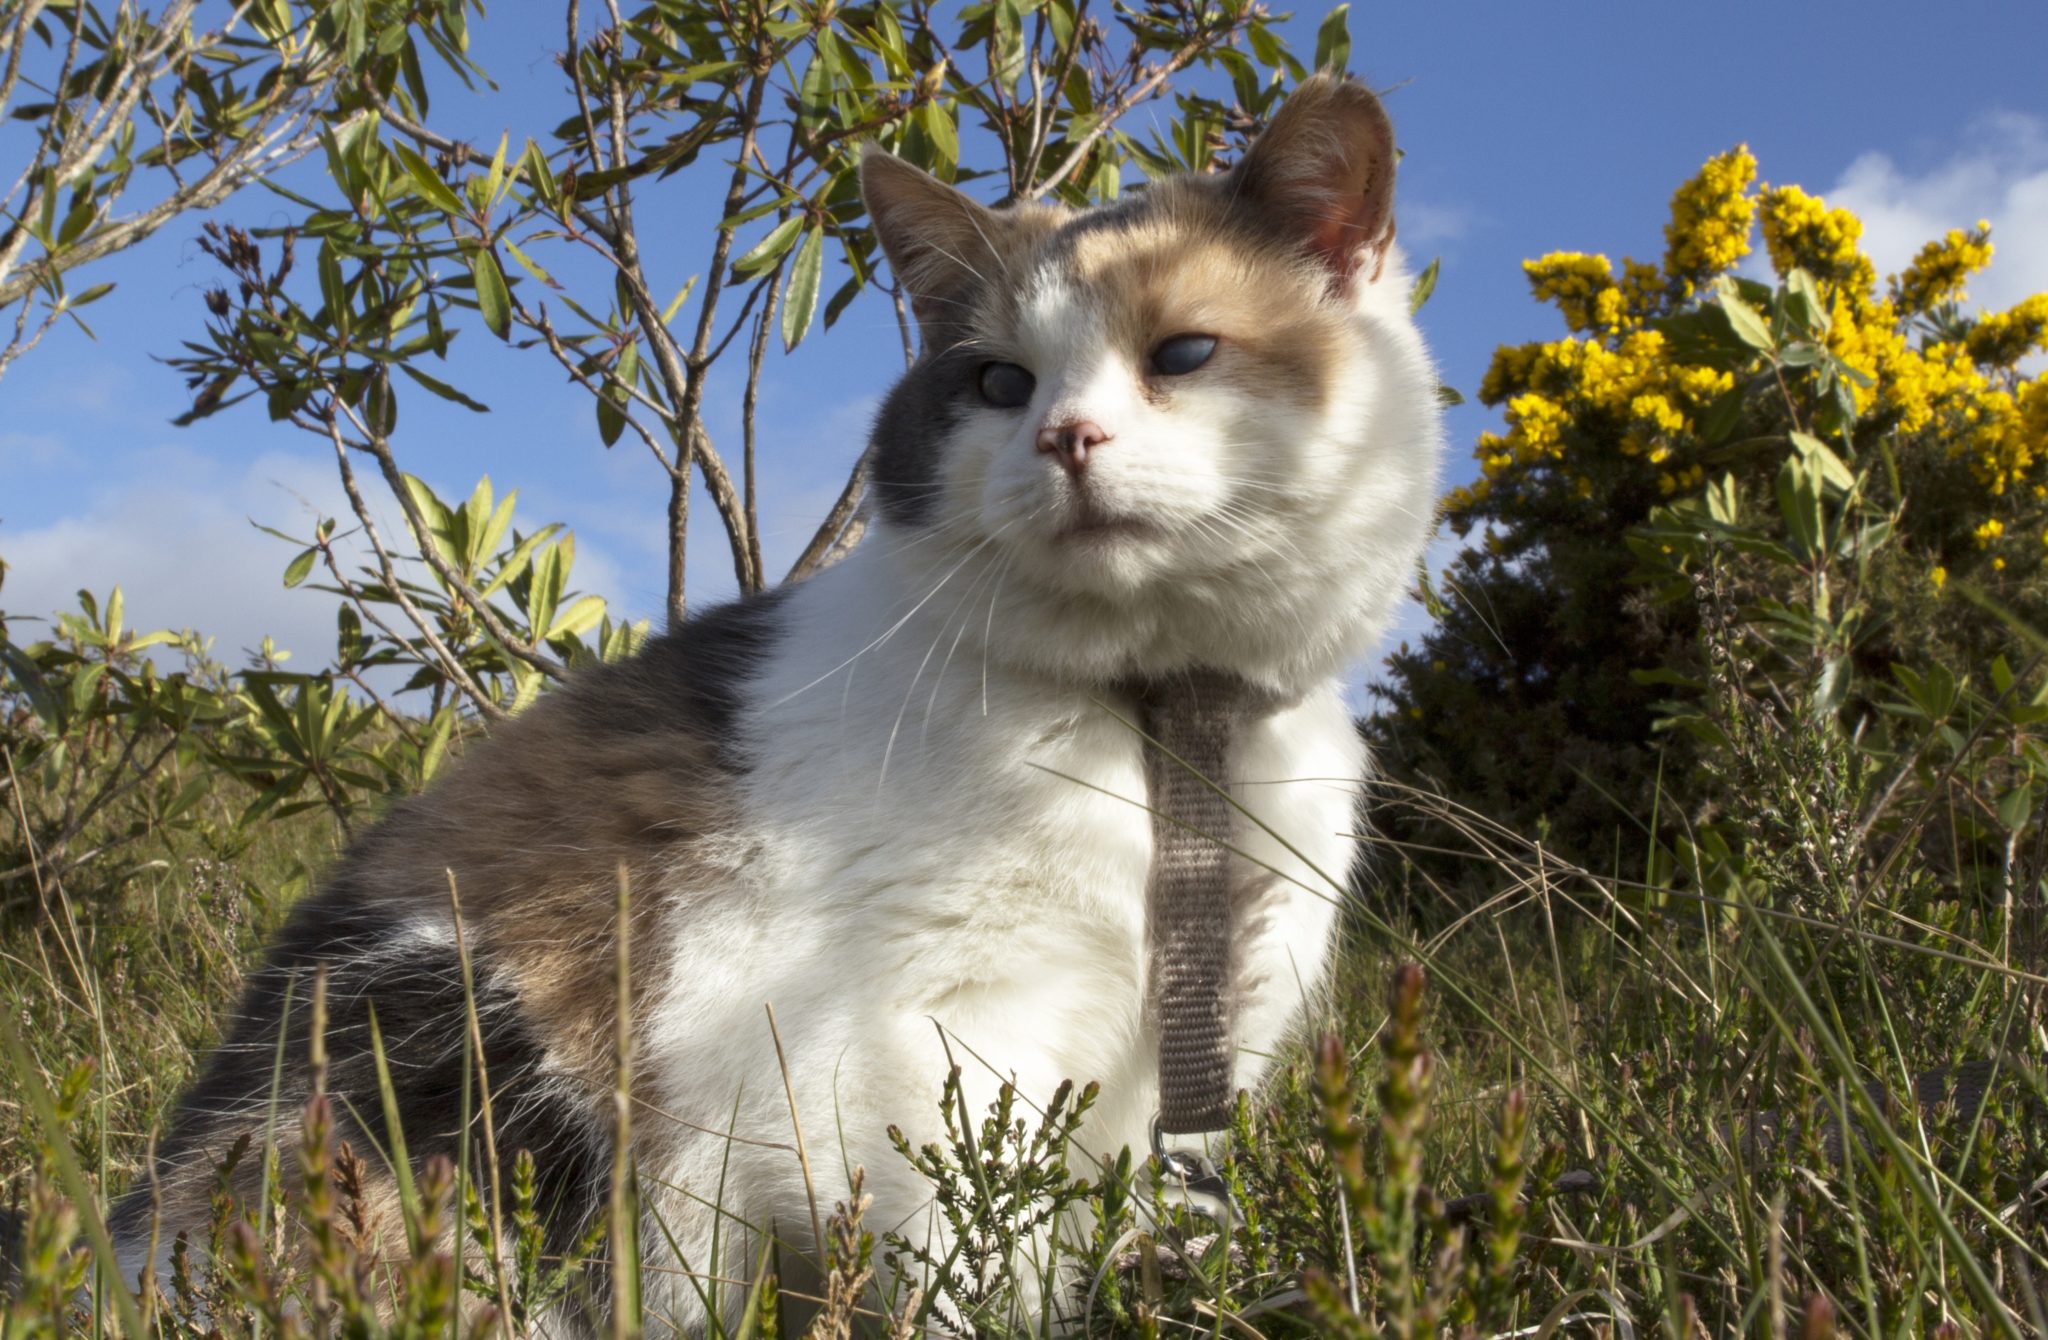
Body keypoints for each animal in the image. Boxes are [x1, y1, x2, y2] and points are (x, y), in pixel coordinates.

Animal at [108, 70, 1441, 1335]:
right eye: (996, 381)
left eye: (1182, 354)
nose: (1065, 435)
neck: (1160, 720)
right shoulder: (942, 1038)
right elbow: (976, 1255)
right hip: (461, 1085)